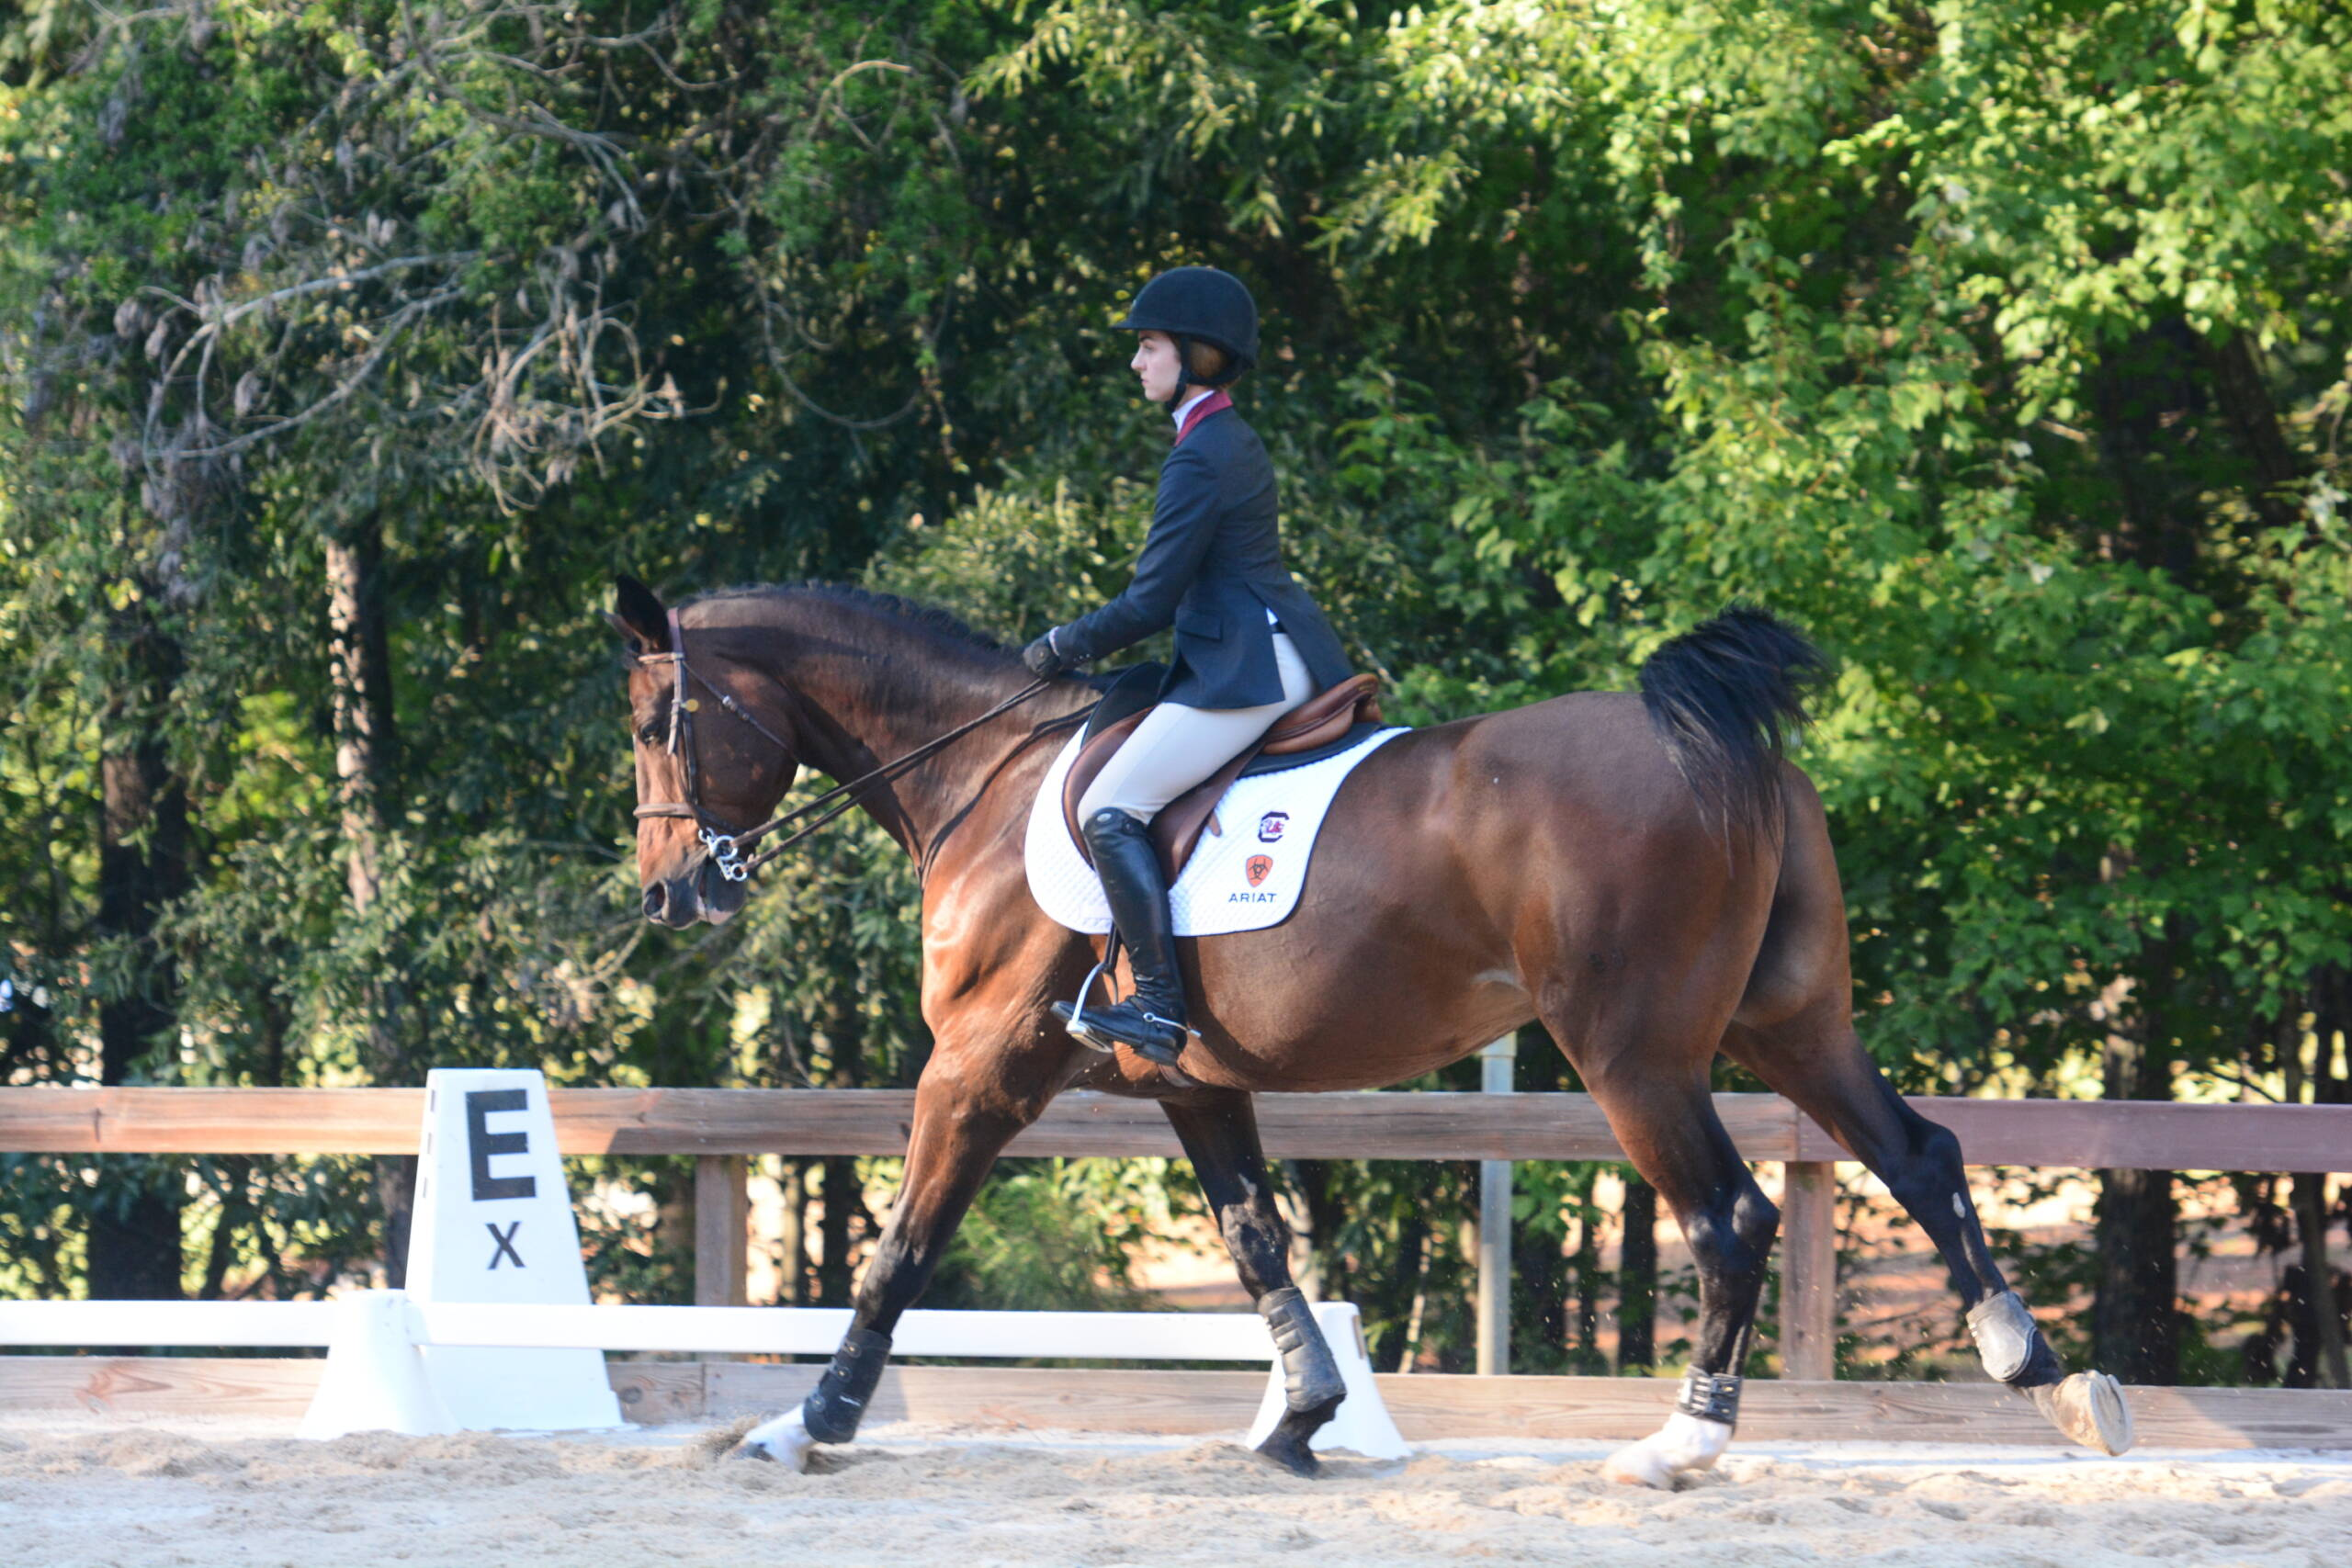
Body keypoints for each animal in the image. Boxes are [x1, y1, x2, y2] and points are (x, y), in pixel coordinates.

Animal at [606, 581, 2135, 1485]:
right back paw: (2051, 1378)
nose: (668, 890)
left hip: (1634, 1054)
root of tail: (1718, 741)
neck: (986, 776)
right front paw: (1302, 1417)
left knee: (1732, 1216)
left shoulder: (978, 1072)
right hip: (1789, 1022)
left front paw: (812, 1418)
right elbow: (1257, 1240)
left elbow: (902, 1247)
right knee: (1921, 1154)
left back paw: (1683, 1440)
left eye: (656, 719)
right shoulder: (1192, 1082)